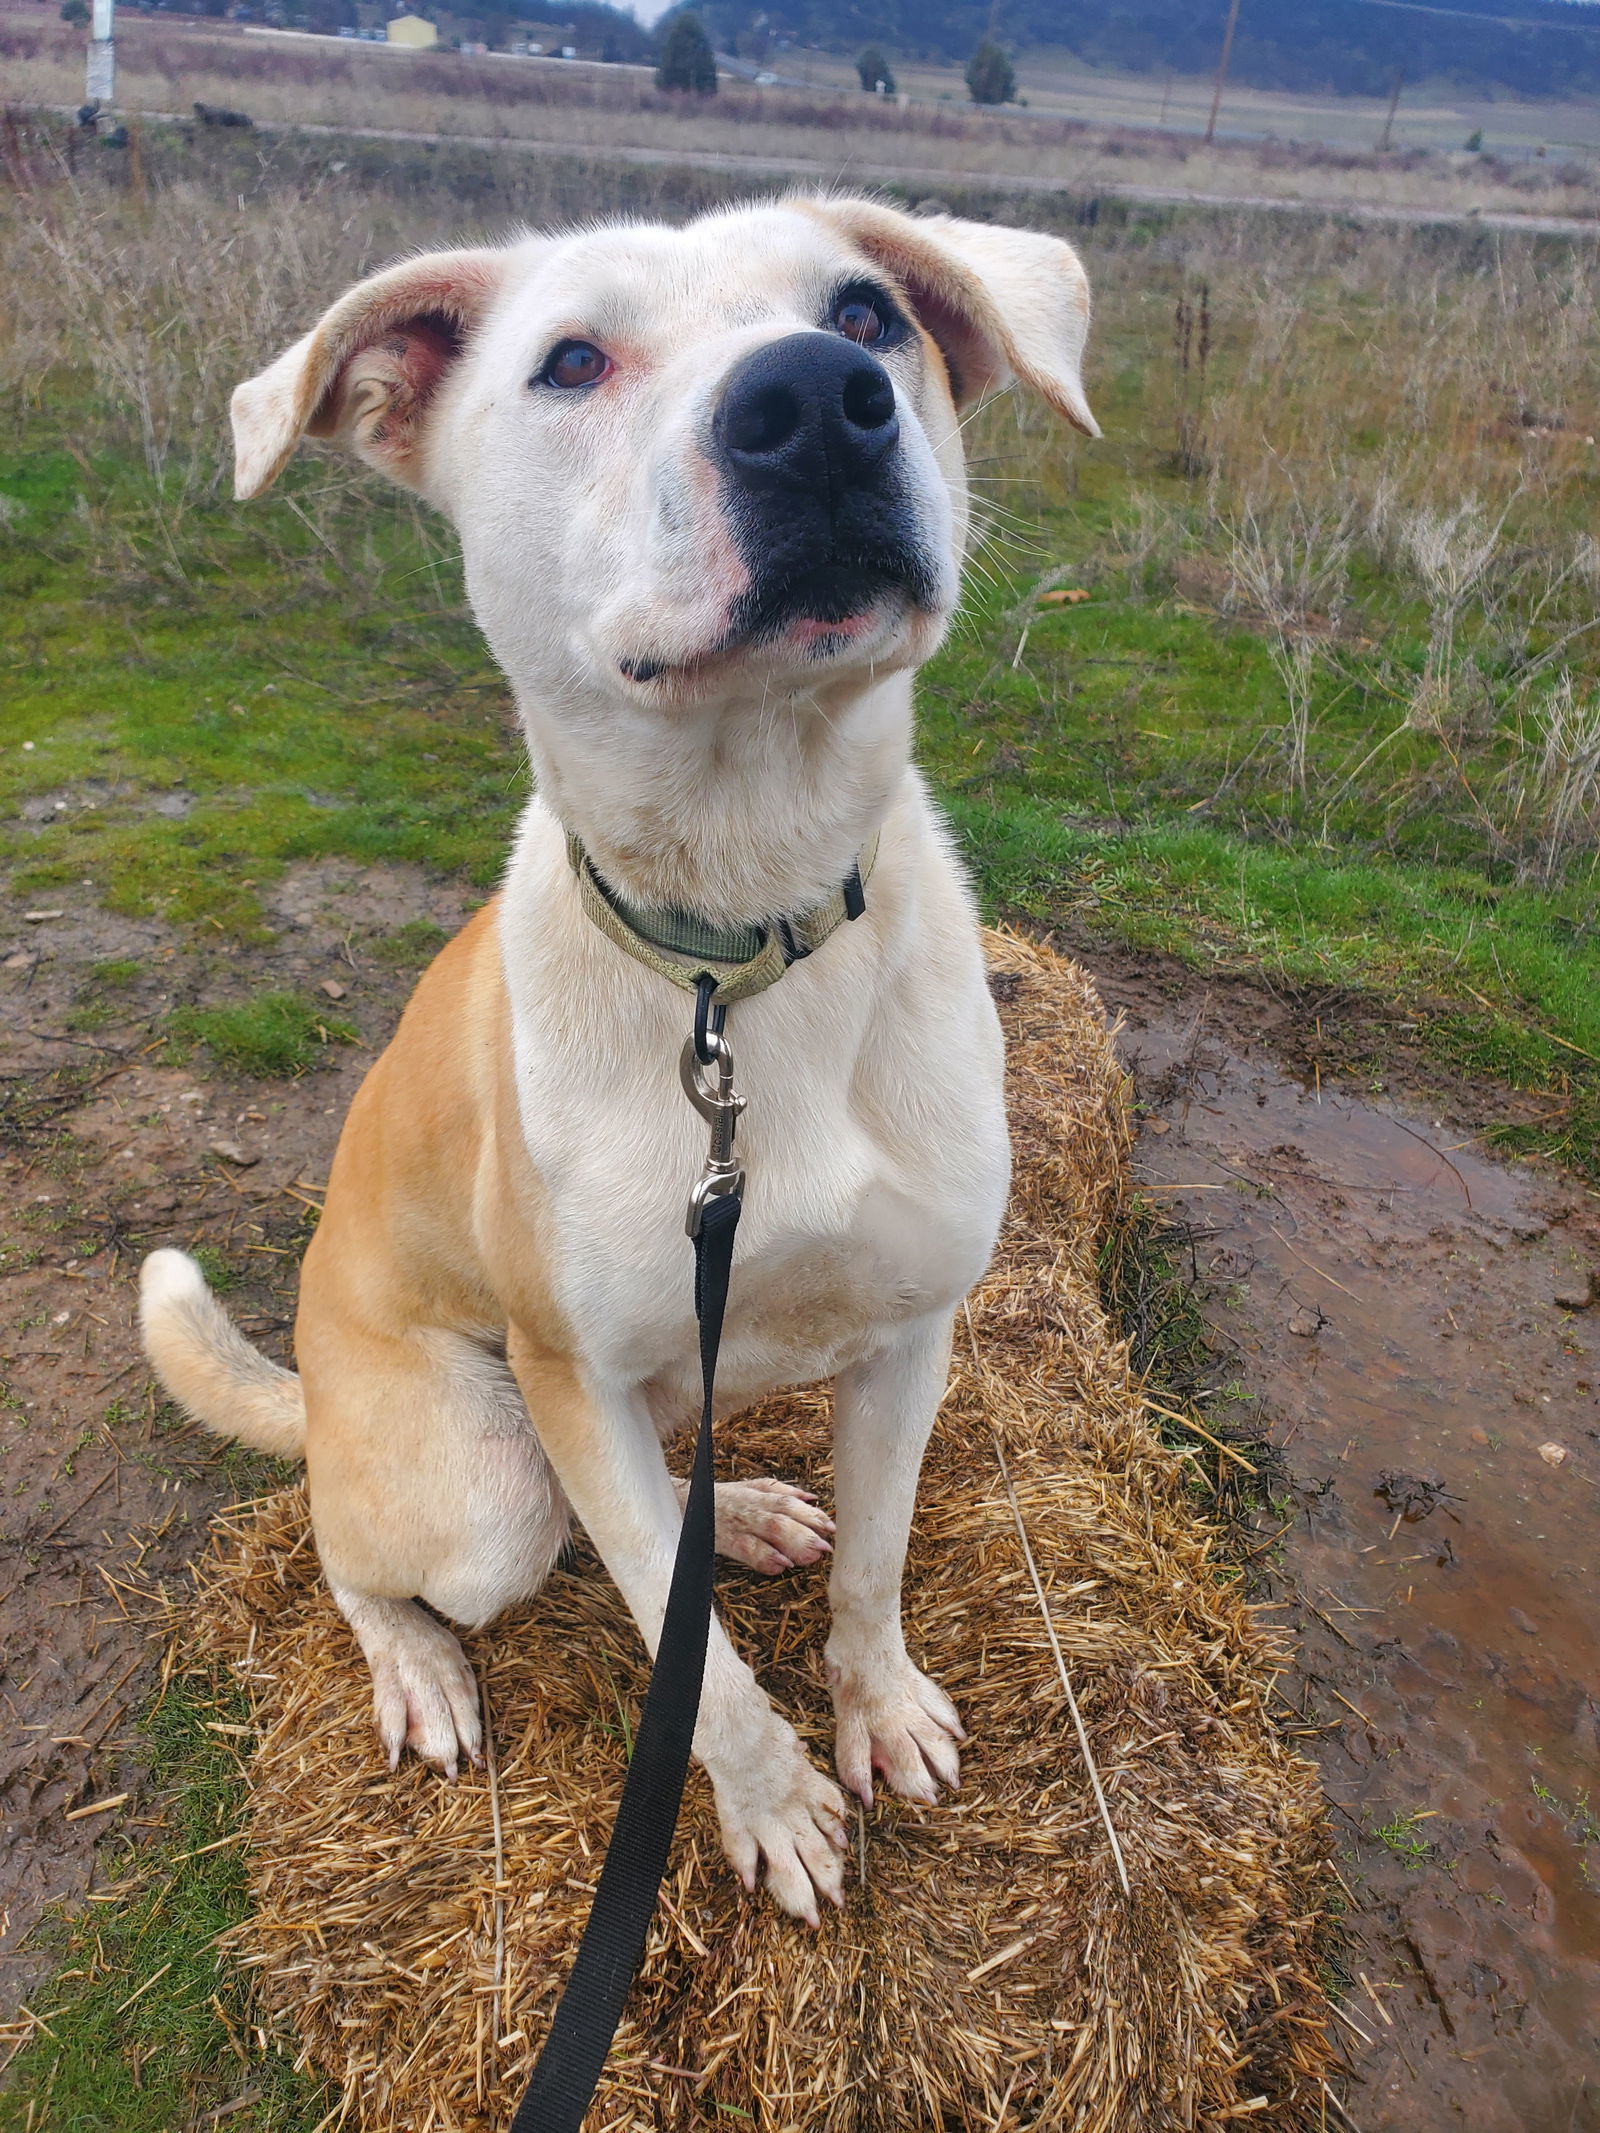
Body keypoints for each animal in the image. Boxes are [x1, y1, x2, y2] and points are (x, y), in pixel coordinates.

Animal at [140, 200, 1092, 1928]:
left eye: (869, 312)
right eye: (571, 361)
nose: (817, 400)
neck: (741, 941)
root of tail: (315, 1383)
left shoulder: (912, 1333)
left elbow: (871, 1568)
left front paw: (879, 1708)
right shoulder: (572, 1384)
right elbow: (689, 1654)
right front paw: (774, 1808)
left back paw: (758, 1508)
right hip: (487, 1481)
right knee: (365, 1552)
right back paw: (418, 1666)